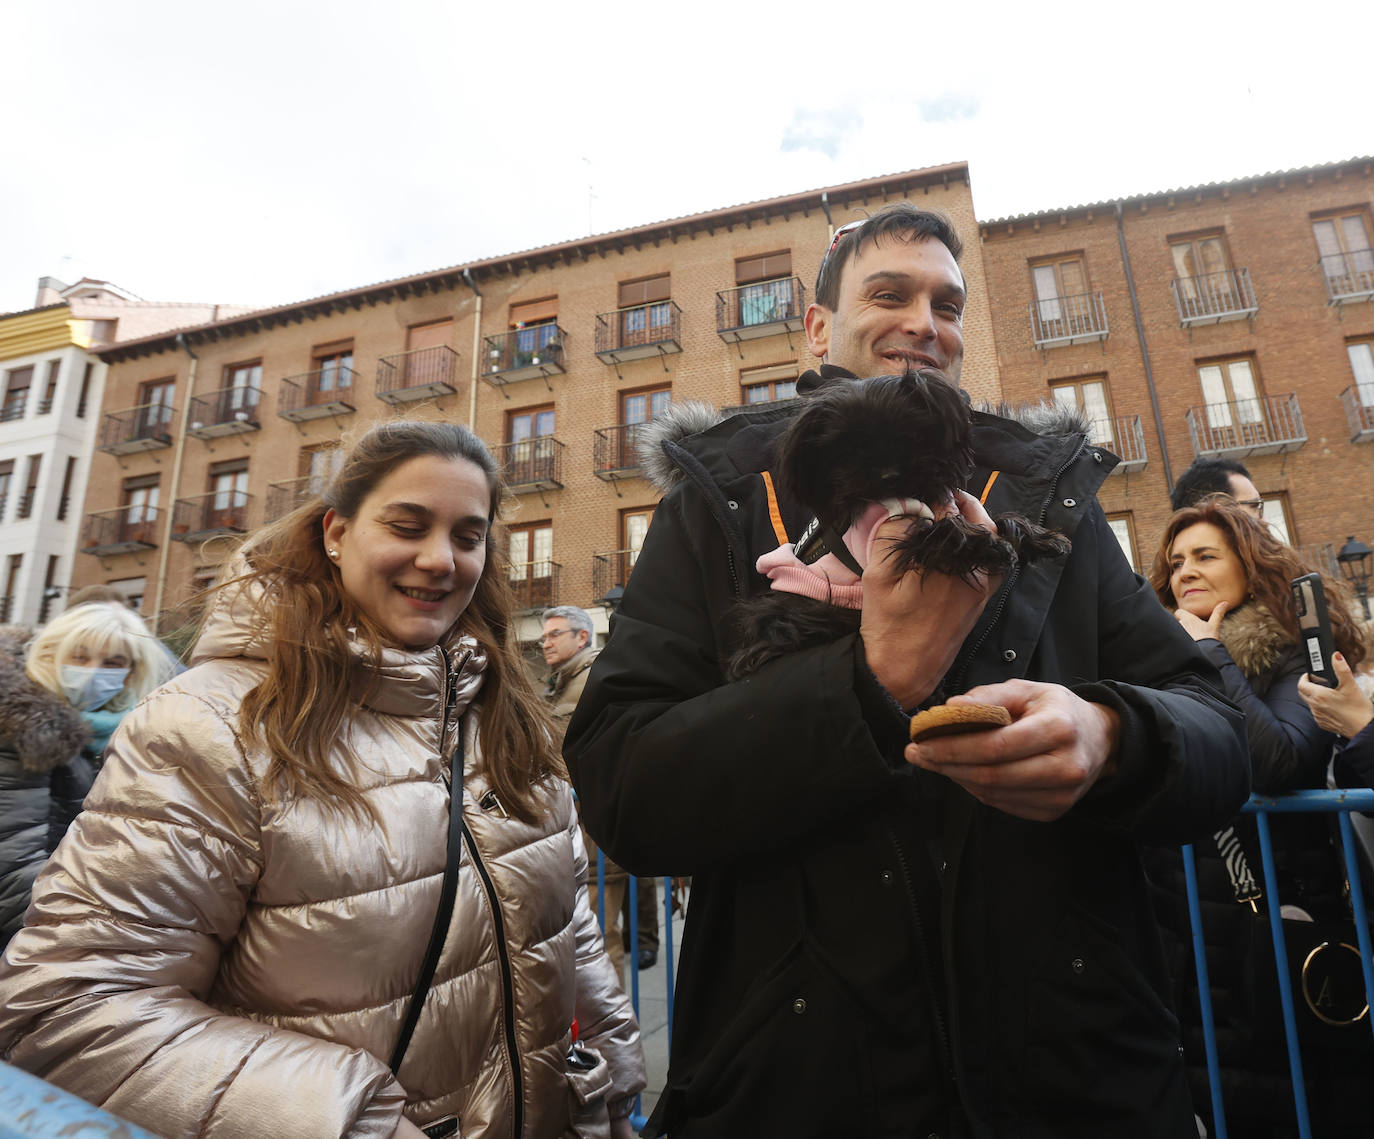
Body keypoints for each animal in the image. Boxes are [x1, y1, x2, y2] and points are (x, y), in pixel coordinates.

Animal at [725, 368, 1066, 678]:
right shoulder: (890, 539)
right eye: (848, 449)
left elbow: (997, 518)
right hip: (817, 611)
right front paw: (985, 543)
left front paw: (1037, 536)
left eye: (912, 435)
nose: (888, 474)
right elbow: (941, 533)